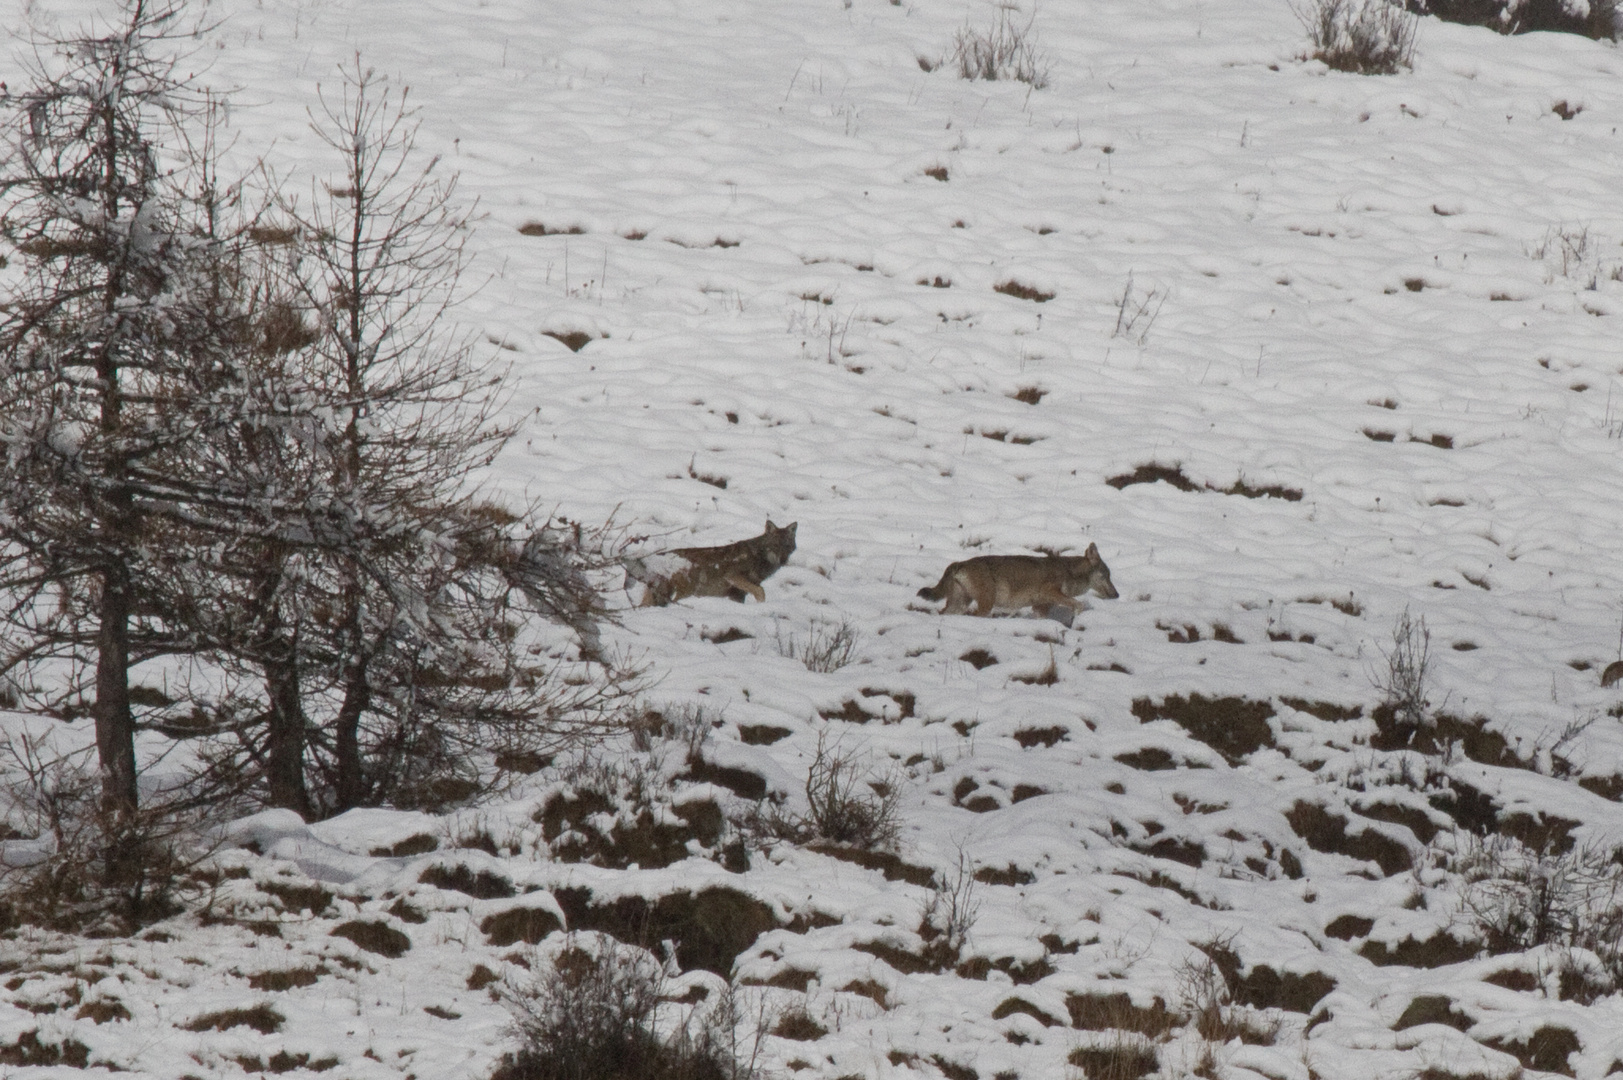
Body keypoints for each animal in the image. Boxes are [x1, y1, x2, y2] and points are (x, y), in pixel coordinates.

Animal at [619, 519, 798, 607]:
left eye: (787, 546)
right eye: (775, 545)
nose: (783, 560)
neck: (758, 557)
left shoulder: (737, 594)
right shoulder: (732, 576)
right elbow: (761, 591)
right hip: (683, 591)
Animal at [921, 542, 1123, 620]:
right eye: (1107, 575)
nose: (1117, 594)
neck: (1068, 572)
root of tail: (959, 563)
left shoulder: (1040, 607)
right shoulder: (1050, 592)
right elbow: (1078, 604)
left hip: (960, 604)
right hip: (985, 604)